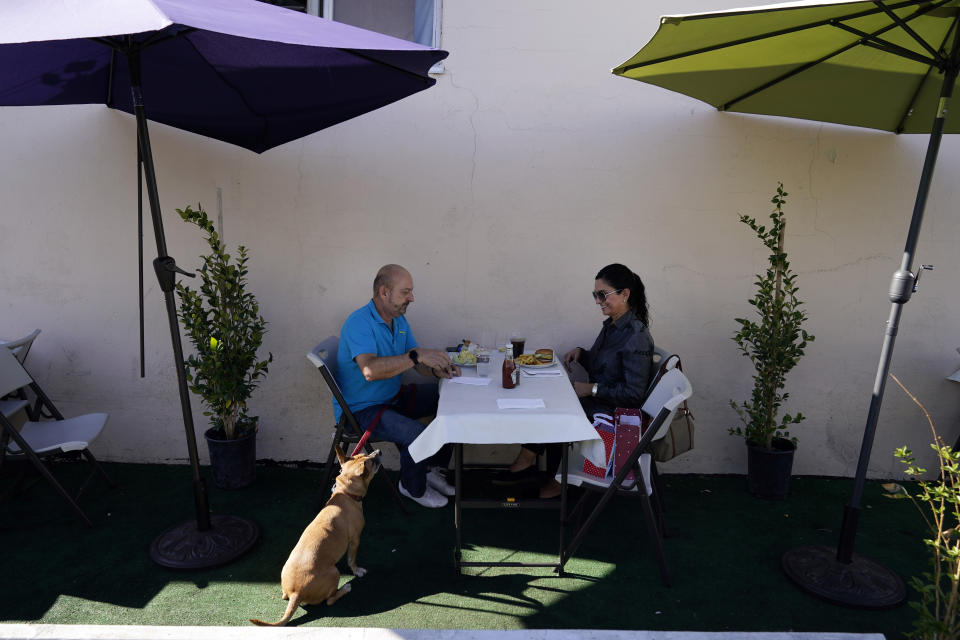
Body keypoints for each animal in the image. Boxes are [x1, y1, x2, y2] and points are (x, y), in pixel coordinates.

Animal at [251, 444, 382, 624]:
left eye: (364, 454)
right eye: (371, 461)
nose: (379, 452)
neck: (345, 494)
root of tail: (296, 593)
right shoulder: (355, 539)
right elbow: (352, 559)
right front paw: (357, 571)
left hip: (286, 583)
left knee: (285, 596)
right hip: (334, 573)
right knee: (330, 600)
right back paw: (345, 588)